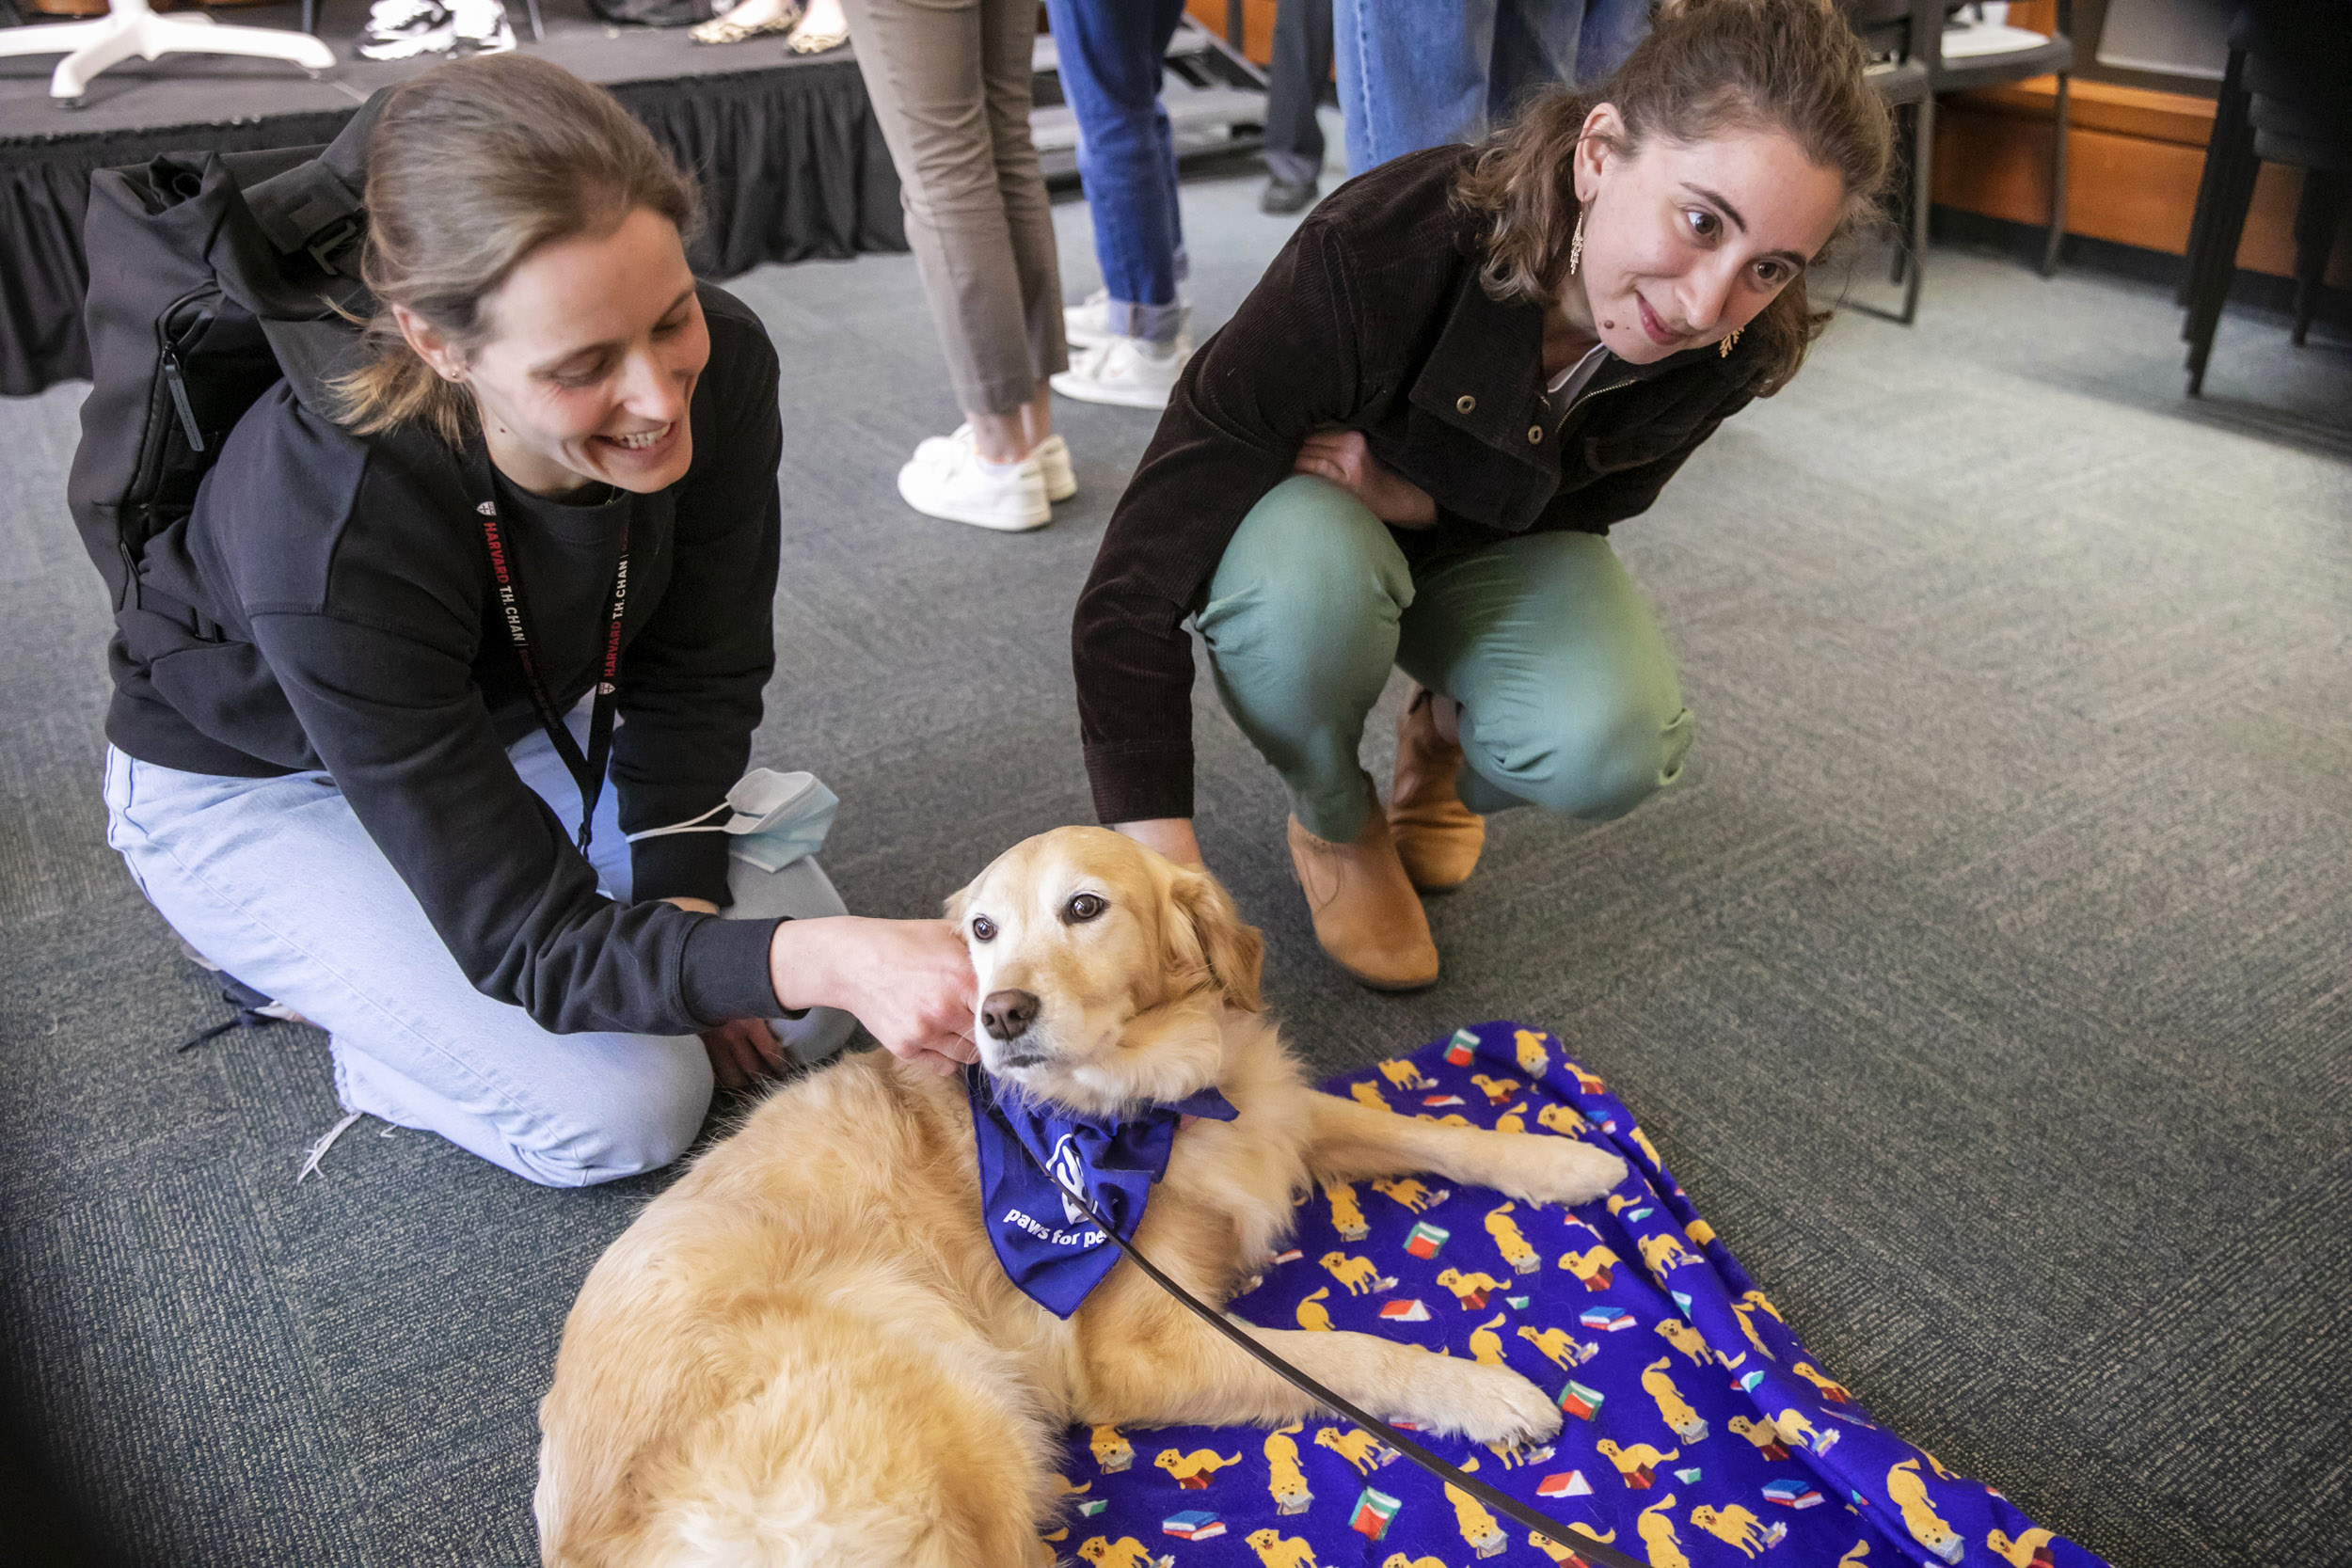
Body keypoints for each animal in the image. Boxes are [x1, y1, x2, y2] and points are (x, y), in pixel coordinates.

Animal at [536, 827, 1628, 1560]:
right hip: (963, 1409)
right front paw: (1480, 1390)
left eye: (1085, 907)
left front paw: (1566, 1159)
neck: (1147, 1104)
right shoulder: (1140, 1350)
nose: (998, 1011)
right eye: (981, 929)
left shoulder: (1276, 1117)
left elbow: (1418, 1128)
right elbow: (1349, 1353)